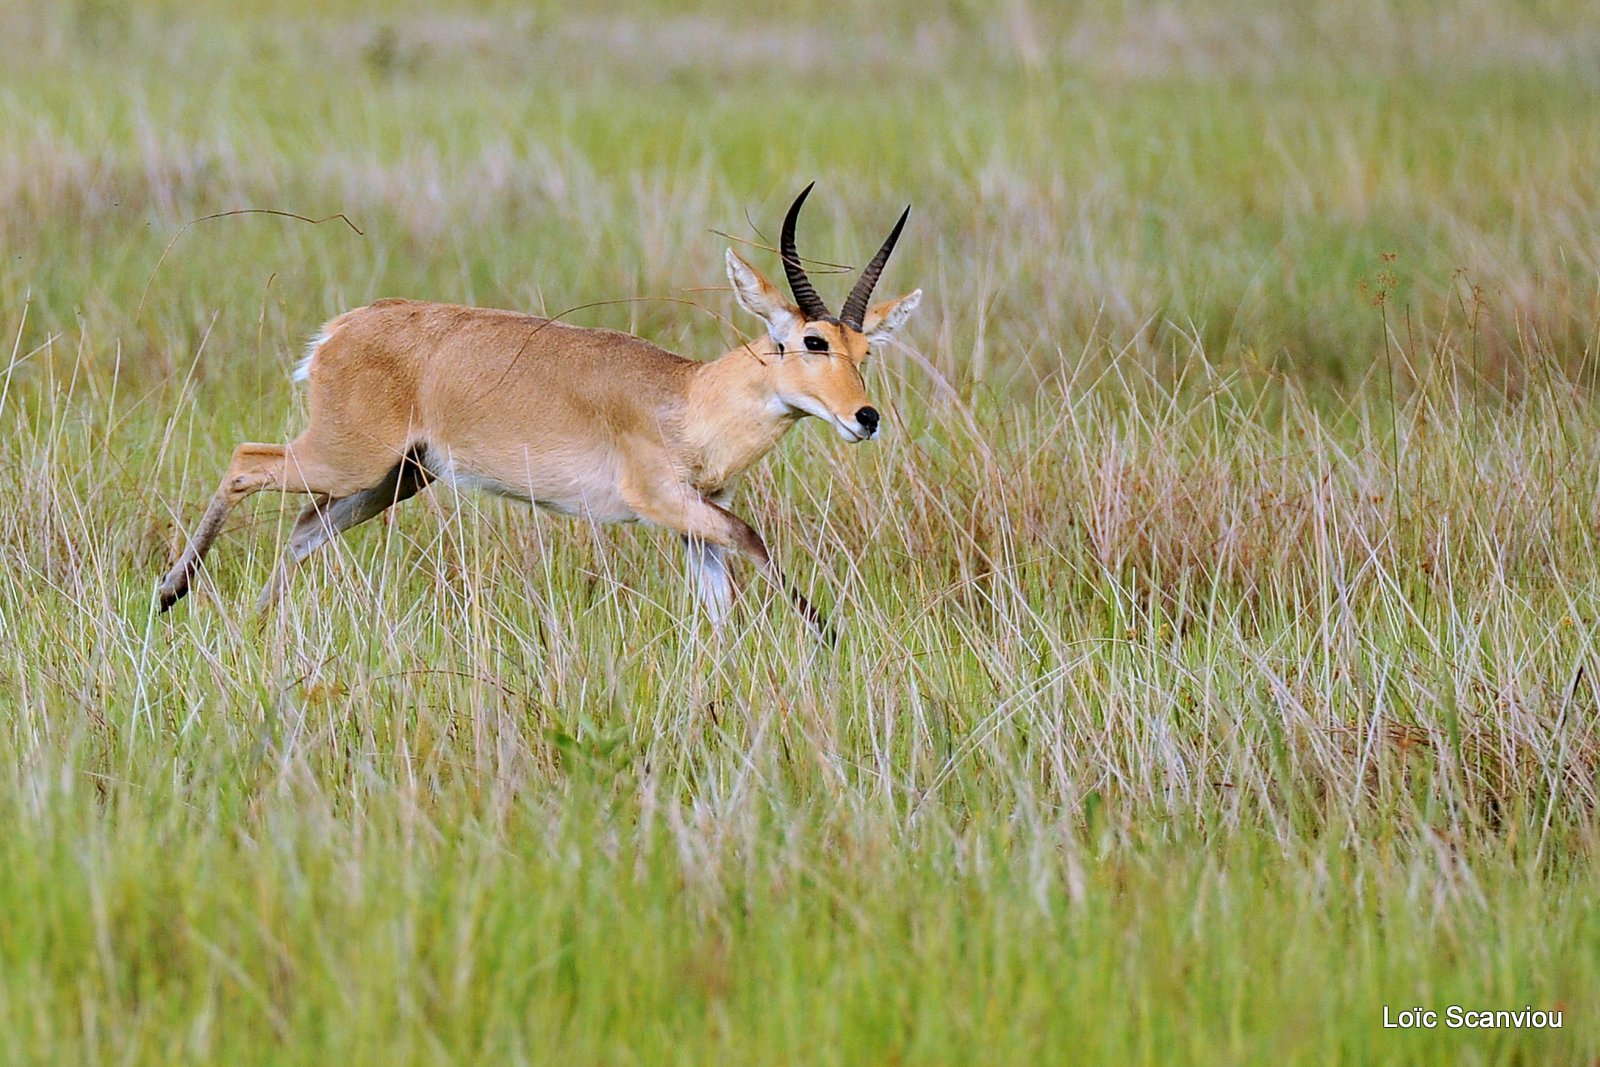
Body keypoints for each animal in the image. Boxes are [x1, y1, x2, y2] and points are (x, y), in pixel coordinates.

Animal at [159, 184, 928, 639]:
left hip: (393, 478)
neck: (687, 397)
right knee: (246, 461)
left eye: (867, 348)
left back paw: (251, 626)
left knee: (303, 529)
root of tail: (342, 328)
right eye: (811, 340)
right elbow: (754, 538)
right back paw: (171, 592)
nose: (865, 417)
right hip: (347, 457)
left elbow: (720, 595)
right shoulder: (661, 501)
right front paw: (828, 637)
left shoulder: (694, 516)